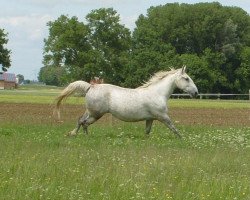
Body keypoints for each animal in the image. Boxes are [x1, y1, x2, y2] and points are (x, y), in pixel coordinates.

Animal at [55, 65, 198, 138]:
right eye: (186, 78)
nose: (196, 92)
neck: (157, 94)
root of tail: (91, 86)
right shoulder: (162, 116)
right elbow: (174, 128)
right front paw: (183, 139)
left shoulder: (150, 118)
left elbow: (147, 132)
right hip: (96, 114)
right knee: (84, 122)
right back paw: (83, 137)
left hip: (90, 111)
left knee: (80, 120)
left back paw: (75, 134)